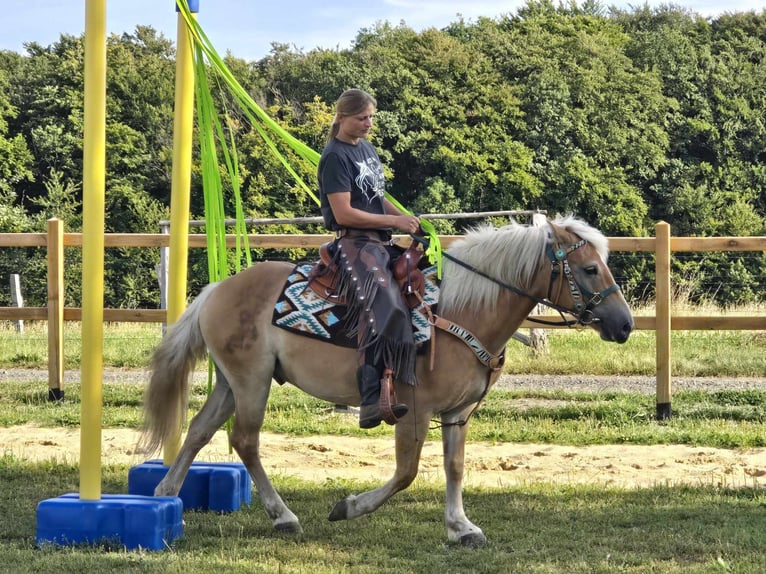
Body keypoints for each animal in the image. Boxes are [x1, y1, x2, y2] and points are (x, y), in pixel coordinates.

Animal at [141, 214, 632, 548]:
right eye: (590, 269)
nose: (625, 324)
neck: (458, 312)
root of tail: (215, 291)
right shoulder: (413, 410)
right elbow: (406, 472)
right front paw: (349, 507)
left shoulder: (457, 413)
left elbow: (454, 467)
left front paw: (461, 527)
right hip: (251, 382)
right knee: (245, 440)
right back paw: (282, 516)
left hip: (230, 382)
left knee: (200, 430)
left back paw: (166, 494)